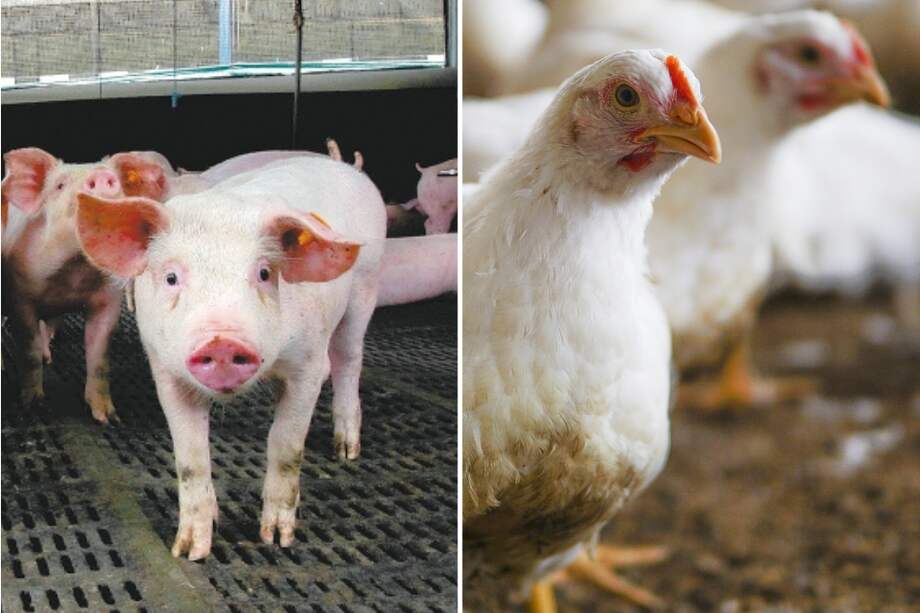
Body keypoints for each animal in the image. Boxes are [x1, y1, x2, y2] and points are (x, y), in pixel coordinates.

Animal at [1, 147, 178, 422]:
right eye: (60, 185)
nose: (102, 176)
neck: (75, 271)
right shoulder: (21, 296)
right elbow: (28, 351)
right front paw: (33, 405)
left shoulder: (110, 298)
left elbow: (99, 357)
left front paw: (109, 418)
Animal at [74, 157, 385, 559]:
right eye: (172, 277)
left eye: (265, 273)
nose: (221, 341)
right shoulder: (166, 371)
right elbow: (190, 459)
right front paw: (189, 551)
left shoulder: (307, 363)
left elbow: (286, 445)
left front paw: (277, 539)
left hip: (365, 287)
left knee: (348, 360)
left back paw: (346, 451)